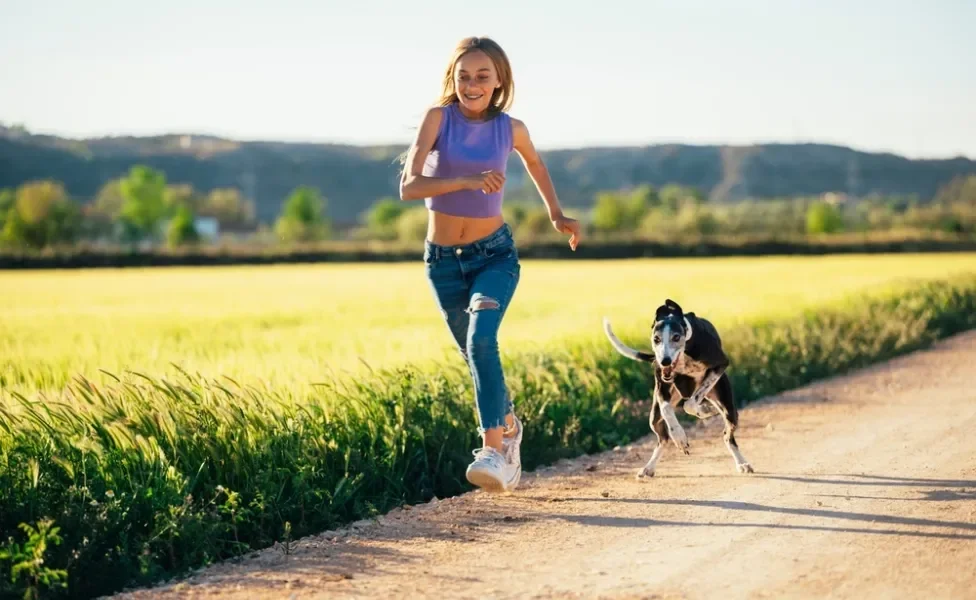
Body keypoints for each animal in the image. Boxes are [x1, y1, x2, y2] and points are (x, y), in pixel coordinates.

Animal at [604, 300, 756, 478]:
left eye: (676, 337)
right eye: (656, 339)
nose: (665, 361)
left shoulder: (720, 364)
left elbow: (690, 403)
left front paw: (704, 410)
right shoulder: (662, 386)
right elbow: (667, 409)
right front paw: (679, 436)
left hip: (728, 408)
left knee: (727, 435)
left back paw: (742, 463)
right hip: (654, 417)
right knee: (663, 439)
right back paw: (649, 467)